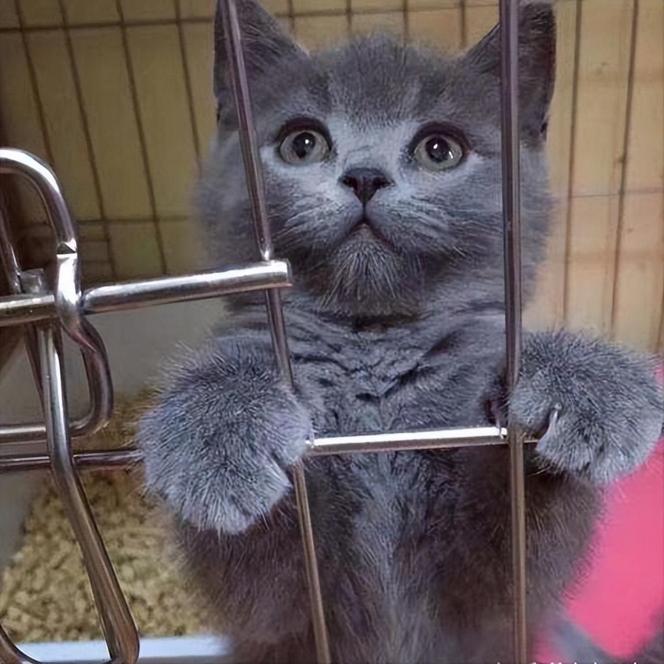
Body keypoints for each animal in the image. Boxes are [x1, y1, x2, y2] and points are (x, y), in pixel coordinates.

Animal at [138, 1, 664, 662]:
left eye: (441, 149)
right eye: (302, 143)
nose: (364, 175)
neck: (373, 351)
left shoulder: (491, 610)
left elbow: (517, 568)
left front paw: (584, 386)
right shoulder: (279, 624)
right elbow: (264, 587)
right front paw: (220, 433)